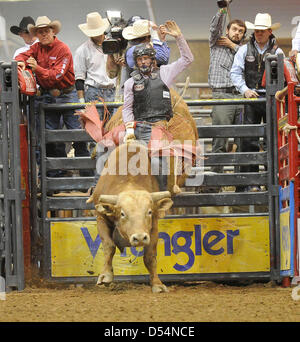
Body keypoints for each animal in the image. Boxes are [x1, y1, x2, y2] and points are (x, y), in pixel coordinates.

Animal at [86, 140, 173, 292]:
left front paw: (157, 283)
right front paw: (106, 275)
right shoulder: (101, 218)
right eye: (122, 214)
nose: (140, 238)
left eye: (149, 212)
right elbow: (109, 246)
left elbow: (150, 256)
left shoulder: (153, 227)